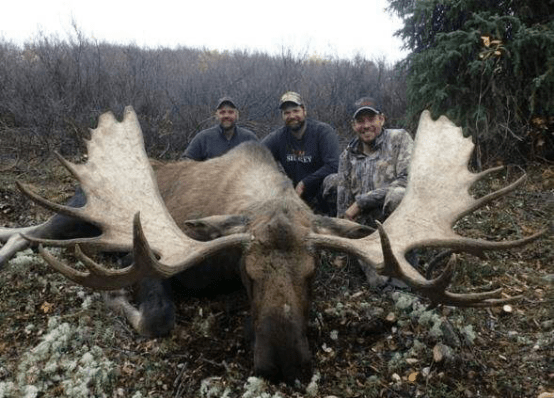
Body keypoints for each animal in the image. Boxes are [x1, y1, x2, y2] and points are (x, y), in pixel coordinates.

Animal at [0, 106, 544, 384]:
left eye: (315, 271)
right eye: (246, 273)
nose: (283, 366)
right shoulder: (156, 252)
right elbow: (157, 316)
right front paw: (114, 293)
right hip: (75, 210)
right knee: (30, 233)